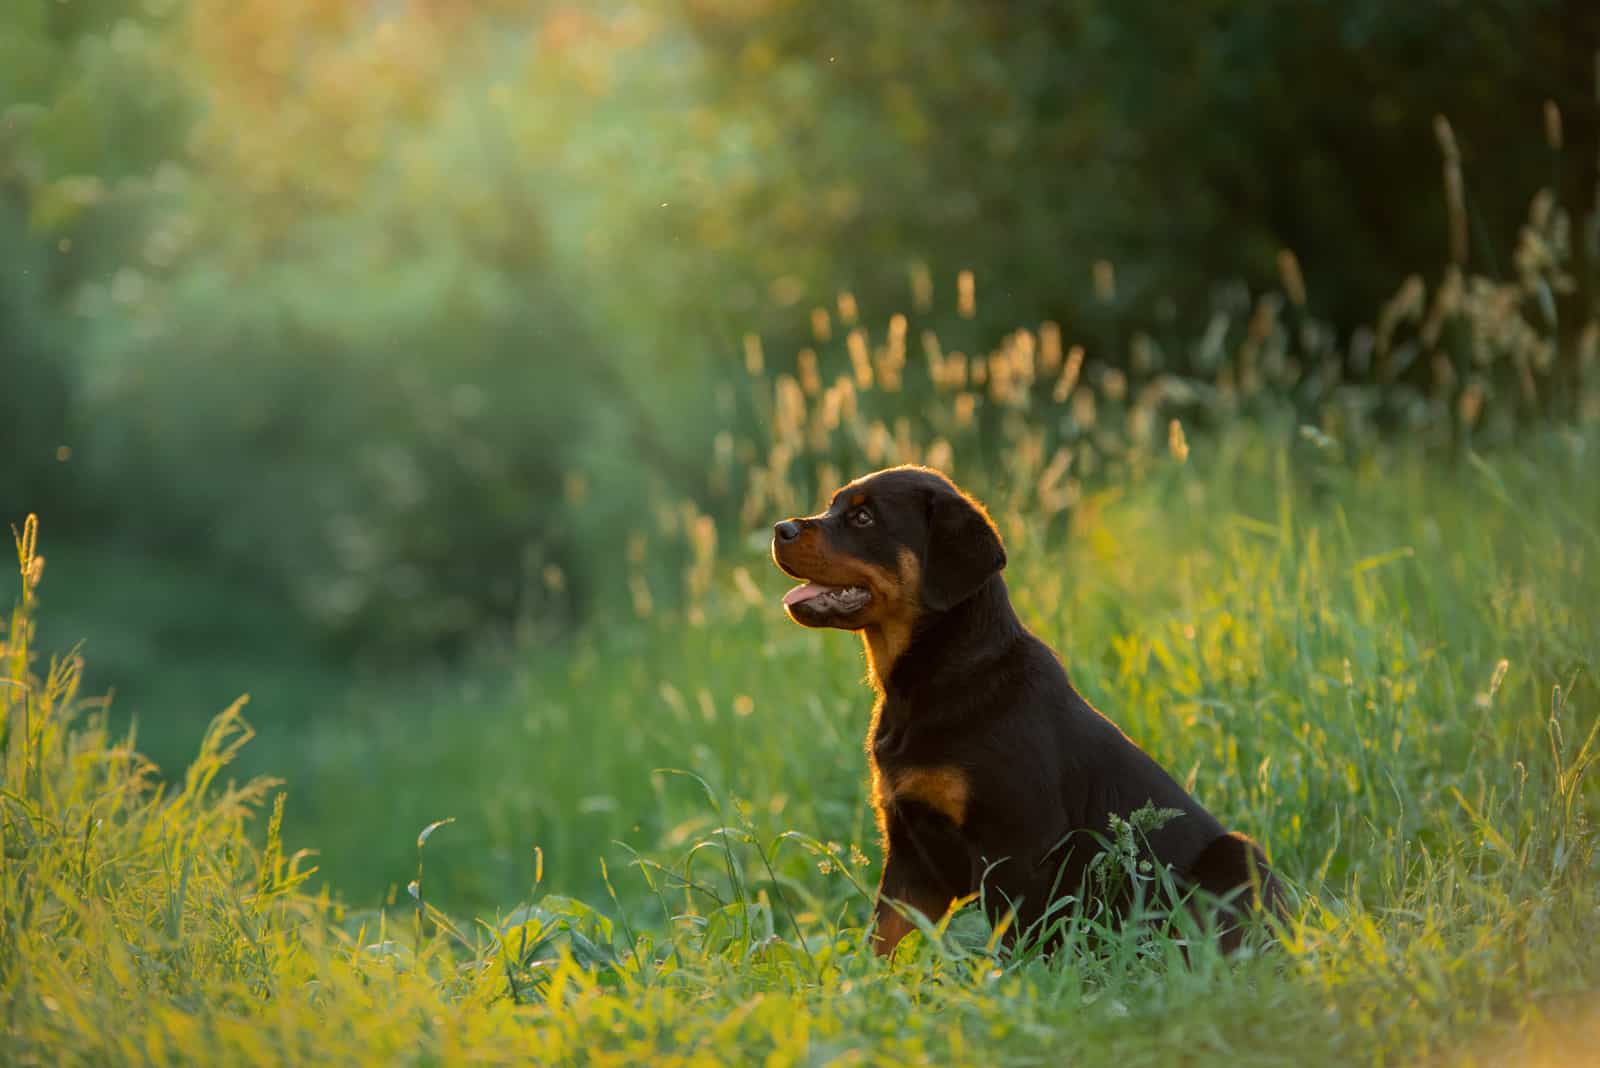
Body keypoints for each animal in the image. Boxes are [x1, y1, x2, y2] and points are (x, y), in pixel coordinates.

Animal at [768, 463, 1280, 952]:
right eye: (834, 506)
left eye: (863, 517)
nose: (780, 528)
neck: (935, 679)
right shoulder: (910, 851)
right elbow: (886, 940)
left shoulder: (1014, 846)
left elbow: (1007, 946)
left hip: (1237, 857)